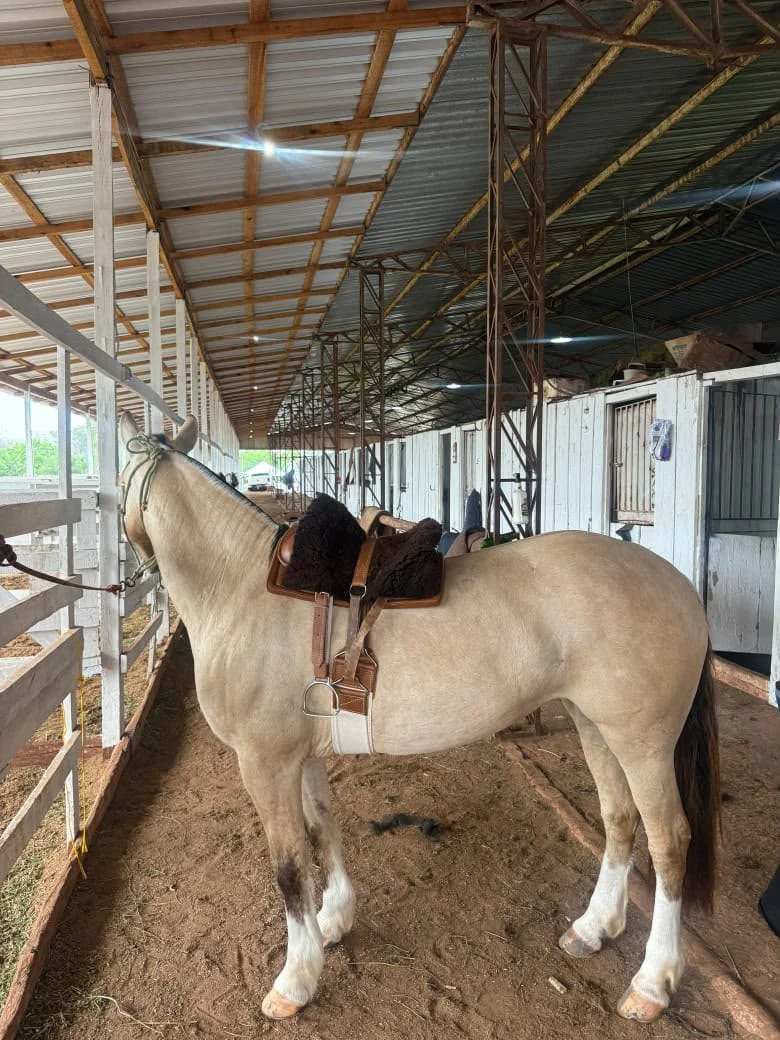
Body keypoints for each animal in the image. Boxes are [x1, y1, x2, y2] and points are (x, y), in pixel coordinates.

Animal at [118, 412, 719, 1025]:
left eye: (117, 480)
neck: (238, 589)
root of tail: (678, 585)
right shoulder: (300, 757)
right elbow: (322, 827)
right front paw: (334, 918)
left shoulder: (264, 763)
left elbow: (288, 866)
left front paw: (296, 978)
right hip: (595, 726)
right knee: (619, 819)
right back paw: (595, 928)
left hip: (643, 743)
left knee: (669, 840)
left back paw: (652, 981)